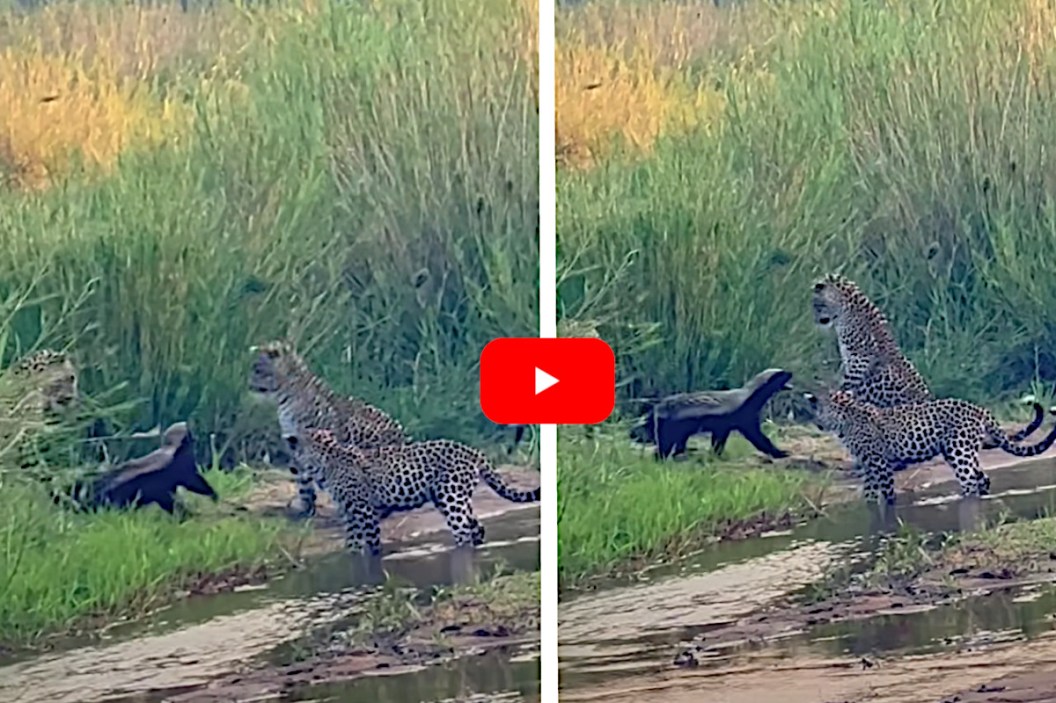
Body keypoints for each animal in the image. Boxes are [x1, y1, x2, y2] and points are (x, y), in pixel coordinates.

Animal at [248, 339, 410, 519]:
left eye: (257, 369)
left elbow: (307, 475)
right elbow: (301, 478)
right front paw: (304, 506)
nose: (249, 384)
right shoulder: (293, 442)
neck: (285, 395)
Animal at [283, 428, 541, 555]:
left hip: (451, 498)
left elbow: (371, 541)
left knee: (464, 532)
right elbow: (352, 542)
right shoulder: (350, 513)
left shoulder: (364, 512)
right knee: (477, 527)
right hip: (451, 498)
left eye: (293, 451)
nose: (291, 466)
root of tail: (472, 450)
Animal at [804, 389, 1056, 506]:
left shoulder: (879, 464)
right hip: (961, 451)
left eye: (818, 410)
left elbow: (886, 492)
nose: (816, 423)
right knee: (982, 478)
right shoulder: (869, 465)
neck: (846, 416)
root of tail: (979, 409)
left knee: (970, 481)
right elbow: (869, 492)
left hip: (959, 451)